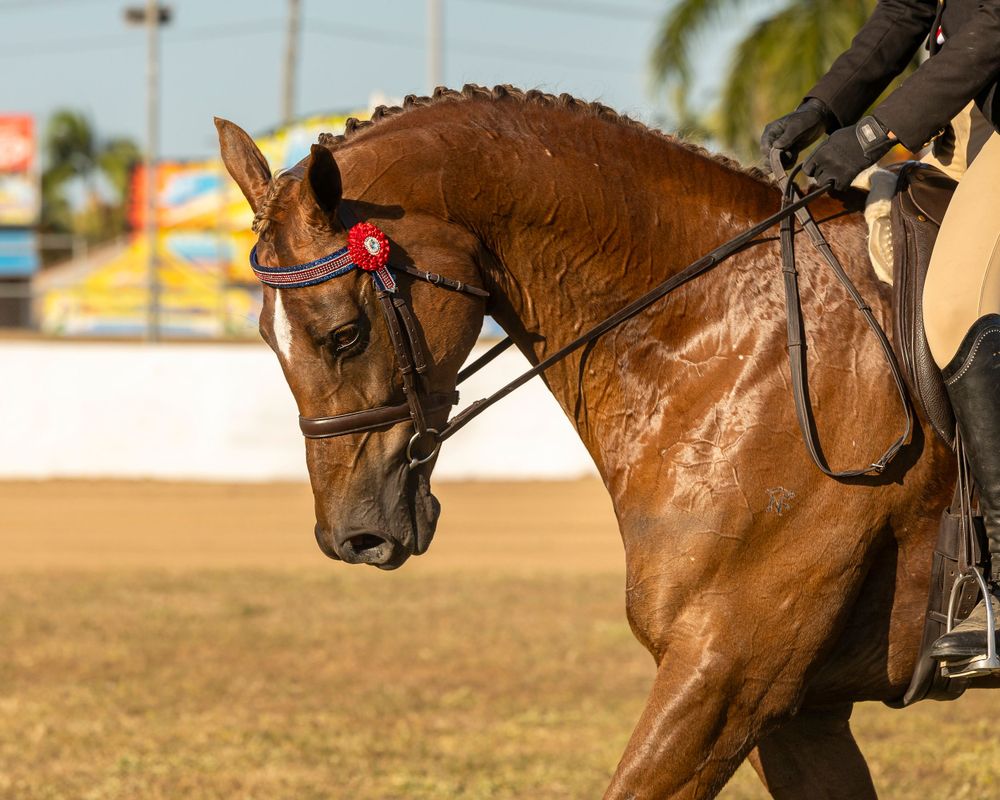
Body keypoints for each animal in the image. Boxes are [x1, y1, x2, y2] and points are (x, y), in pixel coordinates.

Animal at [216, 84, 962, 799]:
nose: (352, 536)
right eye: (265, 338)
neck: (741, 332)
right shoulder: (795, 709)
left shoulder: (731, 669)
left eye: (345, 335)